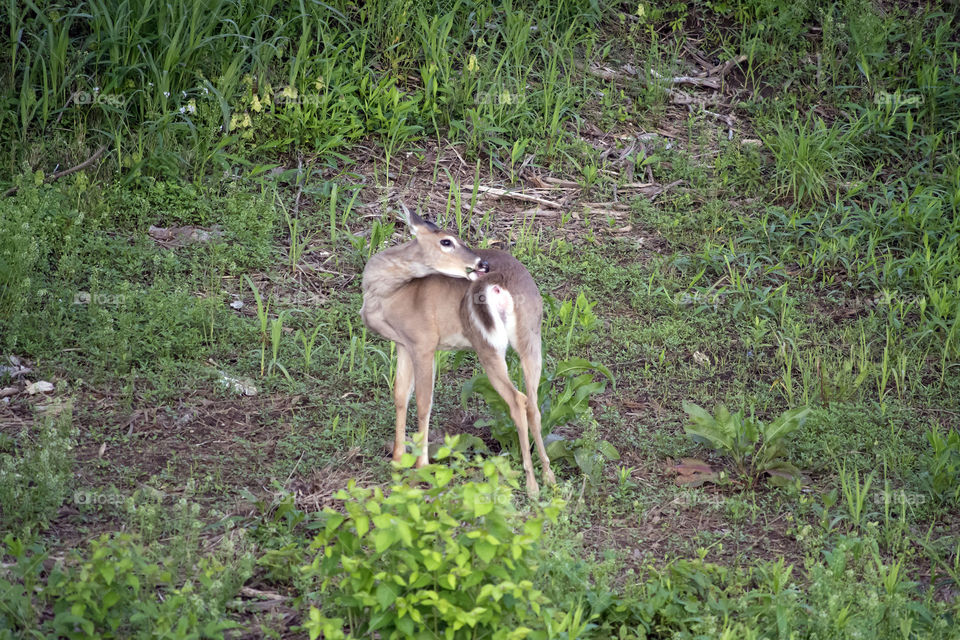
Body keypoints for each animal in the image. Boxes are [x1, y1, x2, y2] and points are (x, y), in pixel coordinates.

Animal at [360, 206, 555, 497]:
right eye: (446, 241)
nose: (481, 264)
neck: (390, 294)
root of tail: (498, 281)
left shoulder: (423, 342)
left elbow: (423, 402)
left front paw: (419, 468)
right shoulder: (403, 344)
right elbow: (399, 395)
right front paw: (397, 460)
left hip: (486, 343)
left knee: (517, 399)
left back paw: (531, 484)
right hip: (531, 335)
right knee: (533, 401)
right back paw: (548, 477)